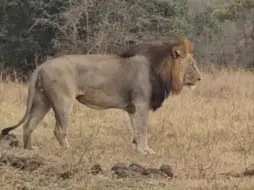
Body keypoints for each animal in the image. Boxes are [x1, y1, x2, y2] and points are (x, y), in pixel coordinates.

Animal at [0, 36, 201, 155]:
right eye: (191, 64)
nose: (200, 78)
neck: (160, 68)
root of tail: (41, 66)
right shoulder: (141, 103)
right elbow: (143, 129)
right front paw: (145, 150)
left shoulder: (132, 107)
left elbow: (135, 129)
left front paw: (137, 147)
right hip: (63, 100)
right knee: (59, 129)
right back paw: (68, 150)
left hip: (42, 100)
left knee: (28, 125)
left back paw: (29, 149)